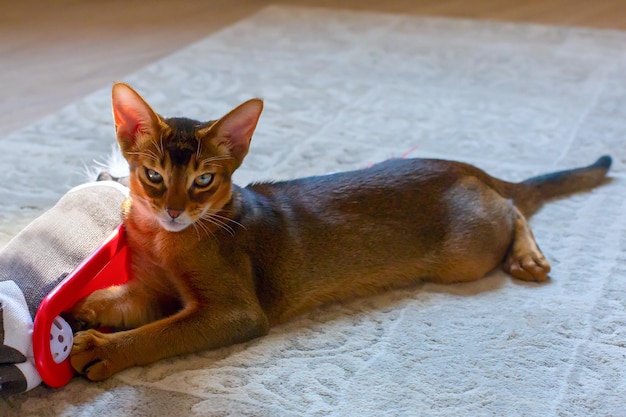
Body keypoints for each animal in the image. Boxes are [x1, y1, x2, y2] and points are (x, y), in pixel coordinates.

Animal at [68, 81, 608, 380]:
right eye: (153, 176)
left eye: (204, 180)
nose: (175, 212)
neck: (163, 239)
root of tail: (460, 165)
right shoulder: (154, 290)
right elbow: (121, 302)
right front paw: (79, 312)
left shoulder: (236, 313)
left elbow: (161, 333)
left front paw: (101, 349)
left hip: (467, 254)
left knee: (513, 207)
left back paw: (528, 257)